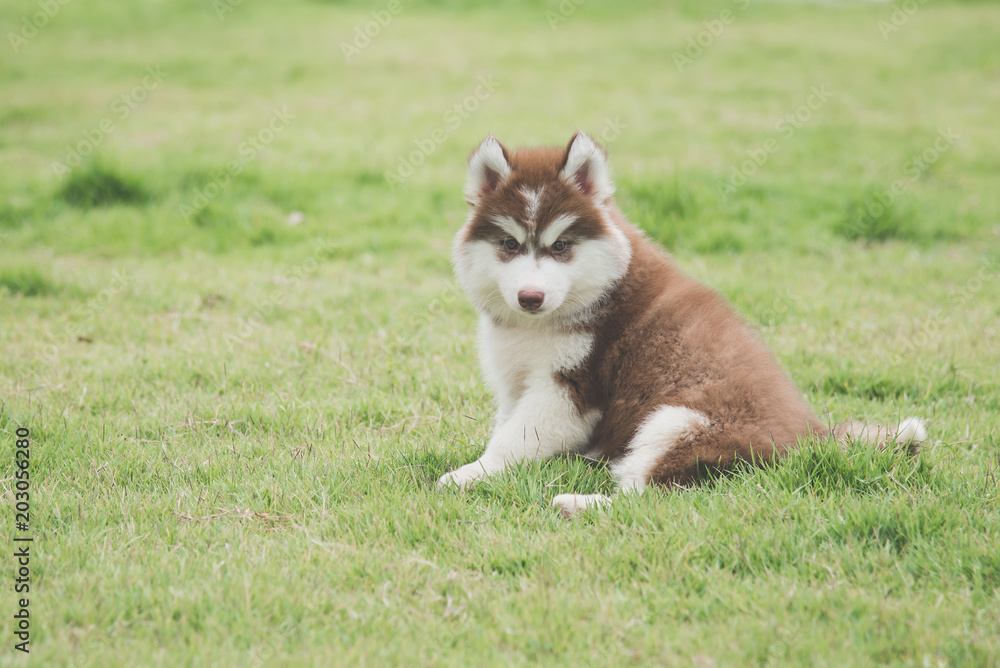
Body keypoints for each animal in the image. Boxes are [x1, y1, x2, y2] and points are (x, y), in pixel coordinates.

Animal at [440, 132, 928, 516]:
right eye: (509, 244)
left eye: (560, 246)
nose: (530, 297)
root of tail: (815, 438)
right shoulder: (515, 384)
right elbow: (507, 428)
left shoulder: (569, 391)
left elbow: (517, 438)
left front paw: (469, 474)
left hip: (675, 422)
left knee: (645, 495)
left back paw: (576, 502)